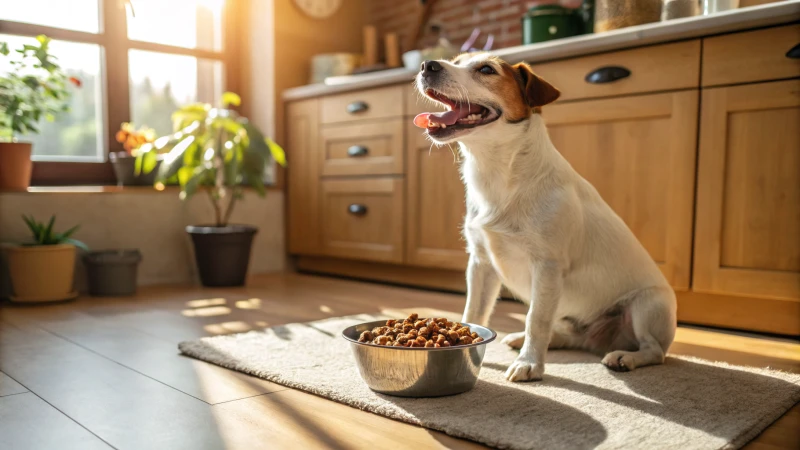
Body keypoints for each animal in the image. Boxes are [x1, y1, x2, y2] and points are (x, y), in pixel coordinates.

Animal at [412, 53, 676, 384]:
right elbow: (474, 312)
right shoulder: (481, 263)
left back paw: (624, 357)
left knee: (654, 350)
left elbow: (535, 319)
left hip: (647, 306)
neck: (500, 176)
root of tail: (604, 339)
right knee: (570, 334)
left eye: (486, 69)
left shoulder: (547, 267)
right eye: (456, 59)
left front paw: (530, 365)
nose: (426, 65)